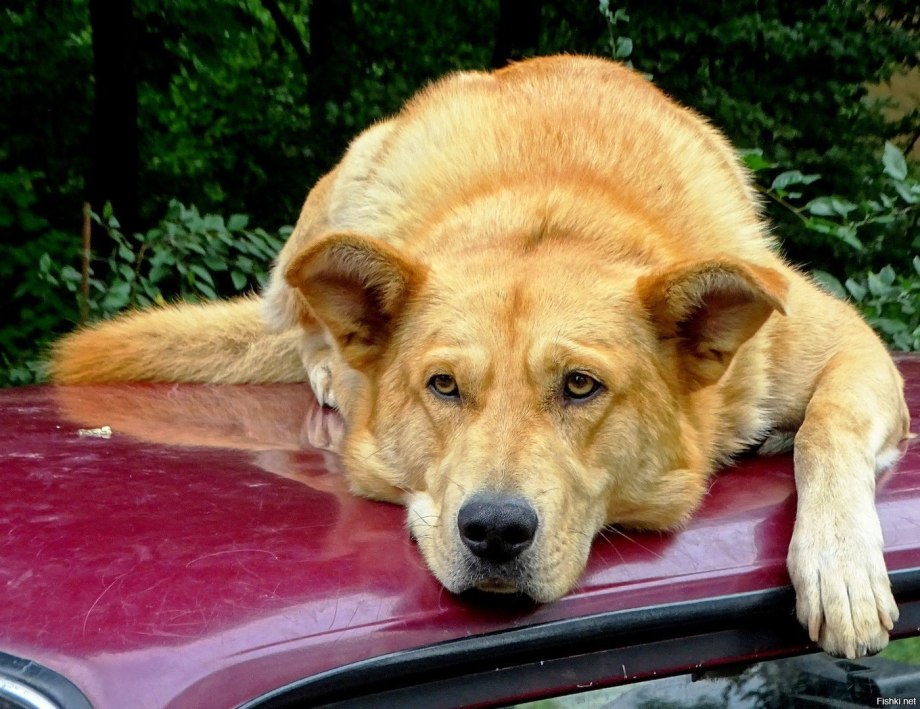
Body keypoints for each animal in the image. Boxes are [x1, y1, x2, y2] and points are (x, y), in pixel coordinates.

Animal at [54, 55, 908, 660]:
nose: (494, 530)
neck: (555, 210)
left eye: (579, 385)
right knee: (300, 325)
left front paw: (840, 562)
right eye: (443, 385)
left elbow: (826, 425)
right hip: (339, 193)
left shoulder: (849, 342)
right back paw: (329, 366)